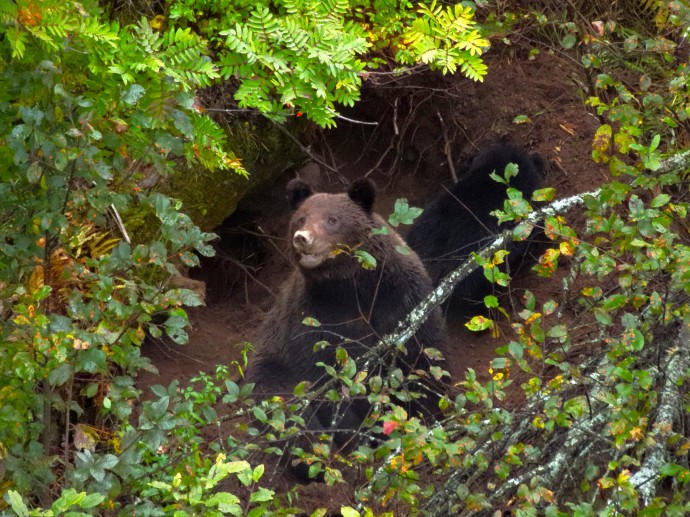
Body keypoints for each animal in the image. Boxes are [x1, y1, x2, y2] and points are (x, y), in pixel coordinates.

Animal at [245, 177, 444, 476]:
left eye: (332, 219)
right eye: (301, 217)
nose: (303, 238)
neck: (351, 287)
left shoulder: (401, 298)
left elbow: (424, 355)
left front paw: (430, 415)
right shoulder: (314, 317)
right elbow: (323, 378)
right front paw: (356, 437)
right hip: (270, 364)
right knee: (283, 404)